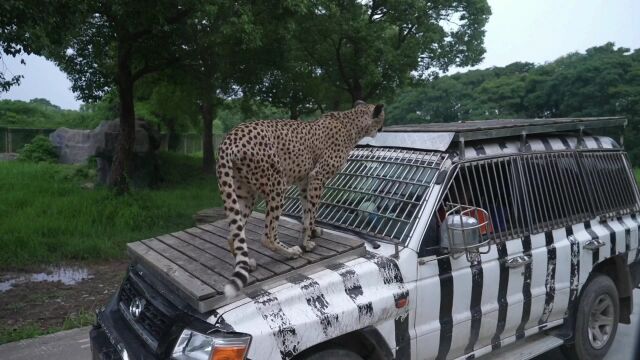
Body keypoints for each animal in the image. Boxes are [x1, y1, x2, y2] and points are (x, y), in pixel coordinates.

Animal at [218, 100, 382, 296]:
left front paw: (311, 233)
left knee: (234, 234)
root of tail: (231, 136)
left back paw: (247, 263)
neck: (351, 122)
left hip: (245, 194)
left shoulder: (305, 183)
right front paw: (306, 243)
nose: (381, 129)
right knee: (267, 235)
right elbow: (311, 213)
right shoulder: (317, 177)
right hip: (277, 185)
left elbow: (307, 213)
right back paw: (291, 252)